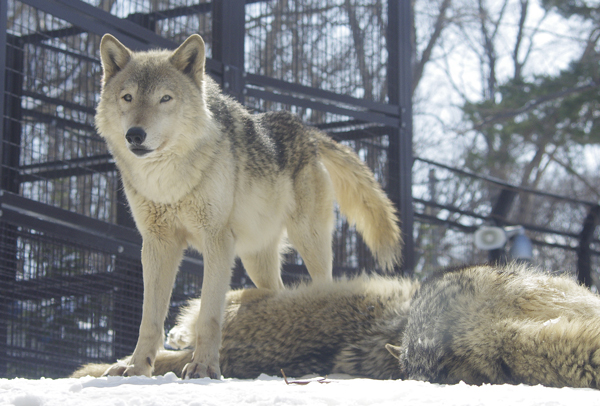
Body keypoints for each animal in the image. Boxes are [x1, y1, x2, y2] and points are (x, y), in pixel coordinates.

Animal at [96, 33, 400, 380]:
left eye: (165, 98)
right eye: (128, 97)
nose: (135, 135)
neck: (170, 181)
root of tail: (309, 133)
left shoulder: (217, 240)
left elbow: (209, 315)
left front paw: (204, 367)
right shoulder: (158, 244)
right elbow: (149, 318)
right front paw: (135, 368)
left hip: (309, 242)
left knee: (322, 287)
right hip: (256, 259)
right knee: (277, 292)